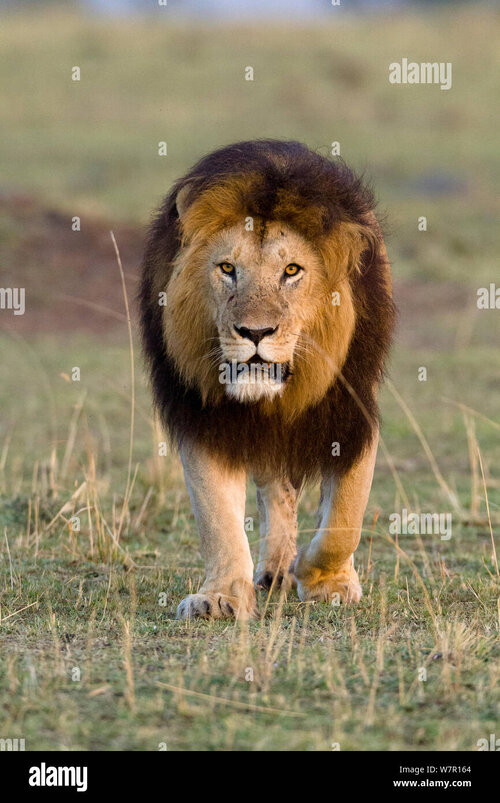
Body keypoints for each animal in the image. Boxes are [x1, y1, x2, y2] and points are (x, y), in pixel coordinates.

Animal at [140, 139, 395, 620]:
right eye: (227, 268)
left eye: (292, 271)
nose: (255, 333)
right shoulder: (205, 419)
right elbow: (218, 519)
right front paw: (220, 597)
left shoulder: (352, 414)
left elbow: (344, 519)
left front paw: (325, 580)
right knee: (276, 494)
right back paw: (275, 570)